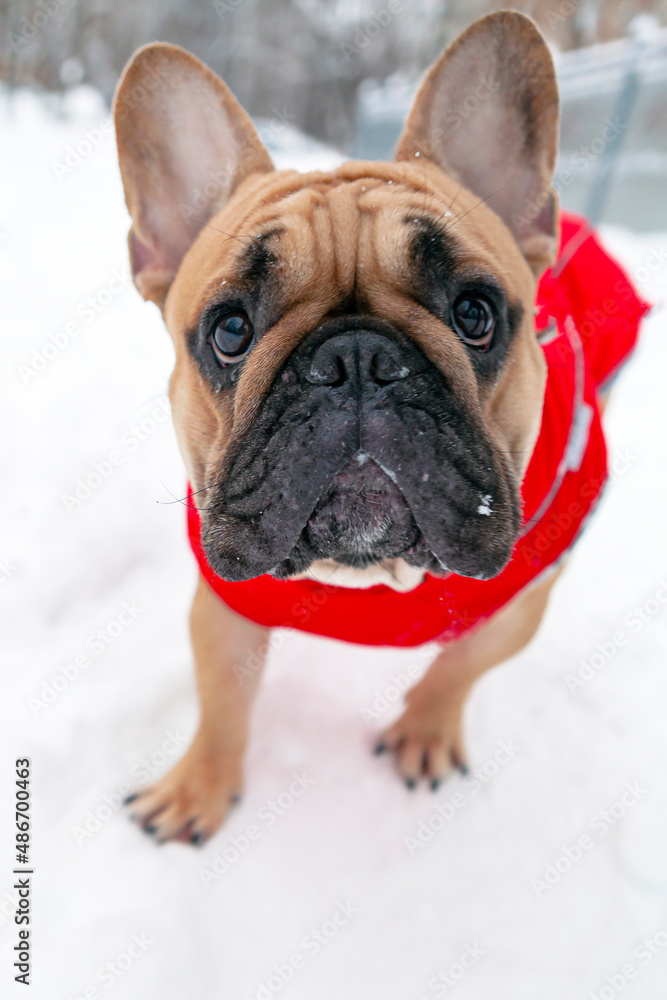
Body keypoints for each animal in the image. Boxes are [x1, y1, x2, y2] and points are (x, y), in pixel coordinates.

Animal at [113, 13, 648, 844]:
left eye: (474, 313)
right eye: (230, 329)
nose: (356, 361)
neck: (370, 573)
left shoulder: (519, 603)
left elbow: (459, 667)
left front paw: (424, 733)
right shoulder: (225, 606)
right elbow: (223, 703)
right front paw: (197, 787)